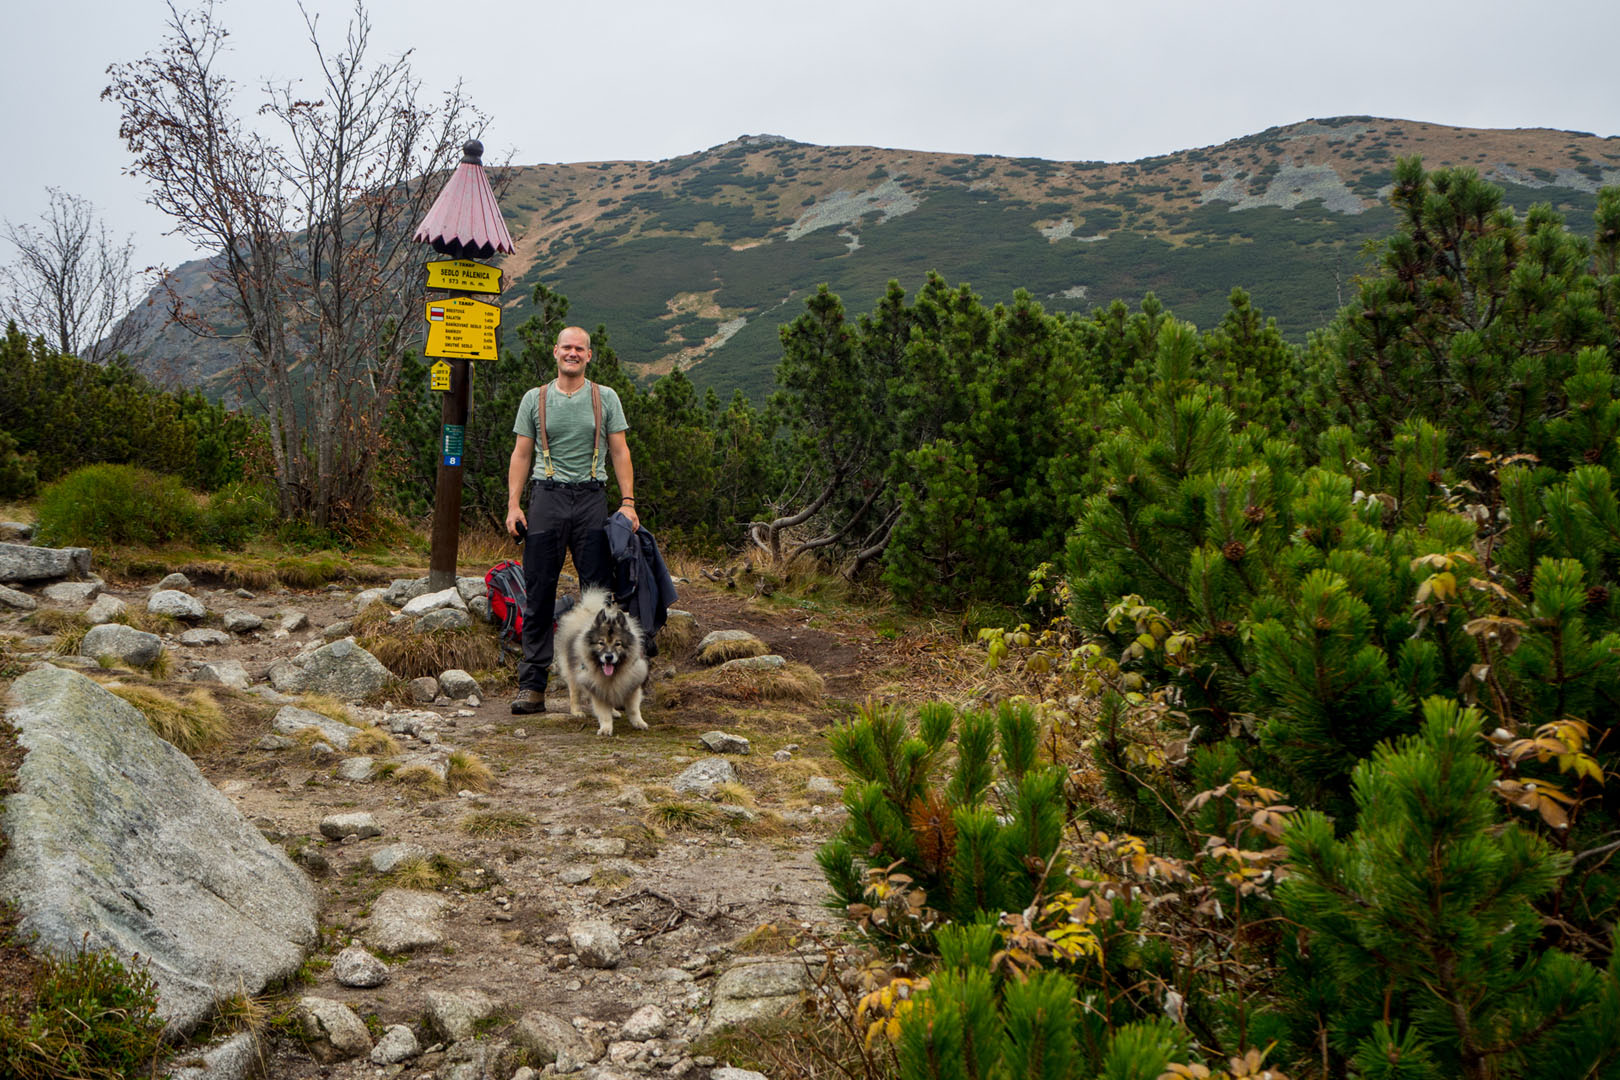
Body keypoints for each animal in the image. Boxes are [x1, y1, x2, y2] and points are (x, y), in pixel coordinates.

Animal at [560, 586, 648, 738]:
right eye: (601, 643)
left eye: (618, 644)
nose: (608, 657)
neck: (613, 674)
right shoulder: (597, 688)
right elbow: (603, 713)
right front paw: (606, 728)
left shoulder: (632, 685)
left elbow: (634, 709)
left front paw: (639, 723)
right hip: (574, 674)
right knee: (574, 693)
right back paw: (577, 712)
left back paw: (614, 712)